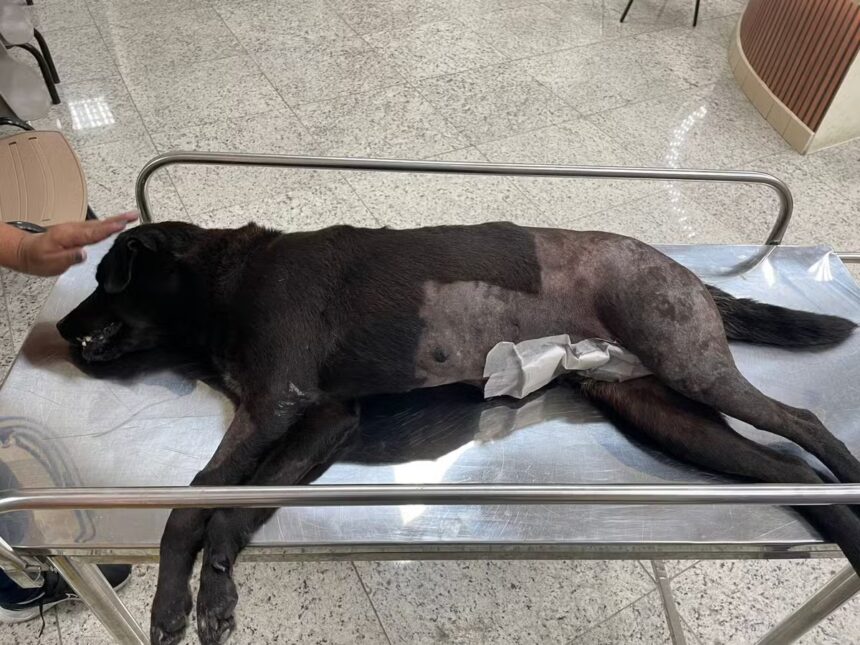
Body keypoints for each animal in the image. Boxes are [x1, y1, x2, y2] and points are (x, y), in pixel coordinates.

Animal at [57, 221, 860, 645]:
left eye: (106, 278)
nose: (59, 327)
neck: (229, 279)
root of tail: (688, 276)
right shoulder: (321, 418)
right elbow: (227, 509)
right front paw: (211, 587)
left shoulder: (278, 408)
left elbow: (193, 502)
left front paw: (179, 600)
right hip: (659, 409)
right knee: (790, 468)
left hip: (691, 367)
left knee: (805, 424)